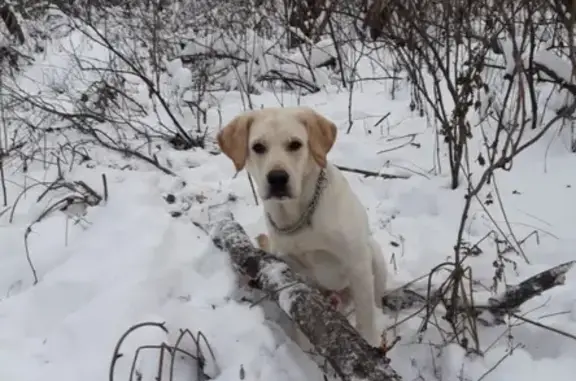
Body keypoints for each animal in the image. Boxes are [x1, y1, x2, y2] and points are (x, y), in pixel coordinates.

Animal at [218, 105, 390, 346]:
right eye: (258, 147)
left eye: (295, 144)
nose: (277, 178)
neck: (300, 214)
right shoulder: (293, 268)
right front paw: (304, 342)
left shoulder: (357, 263)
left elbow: (365, 315)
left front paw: (370, 342)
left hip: (374, 255)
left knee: (375, 300)